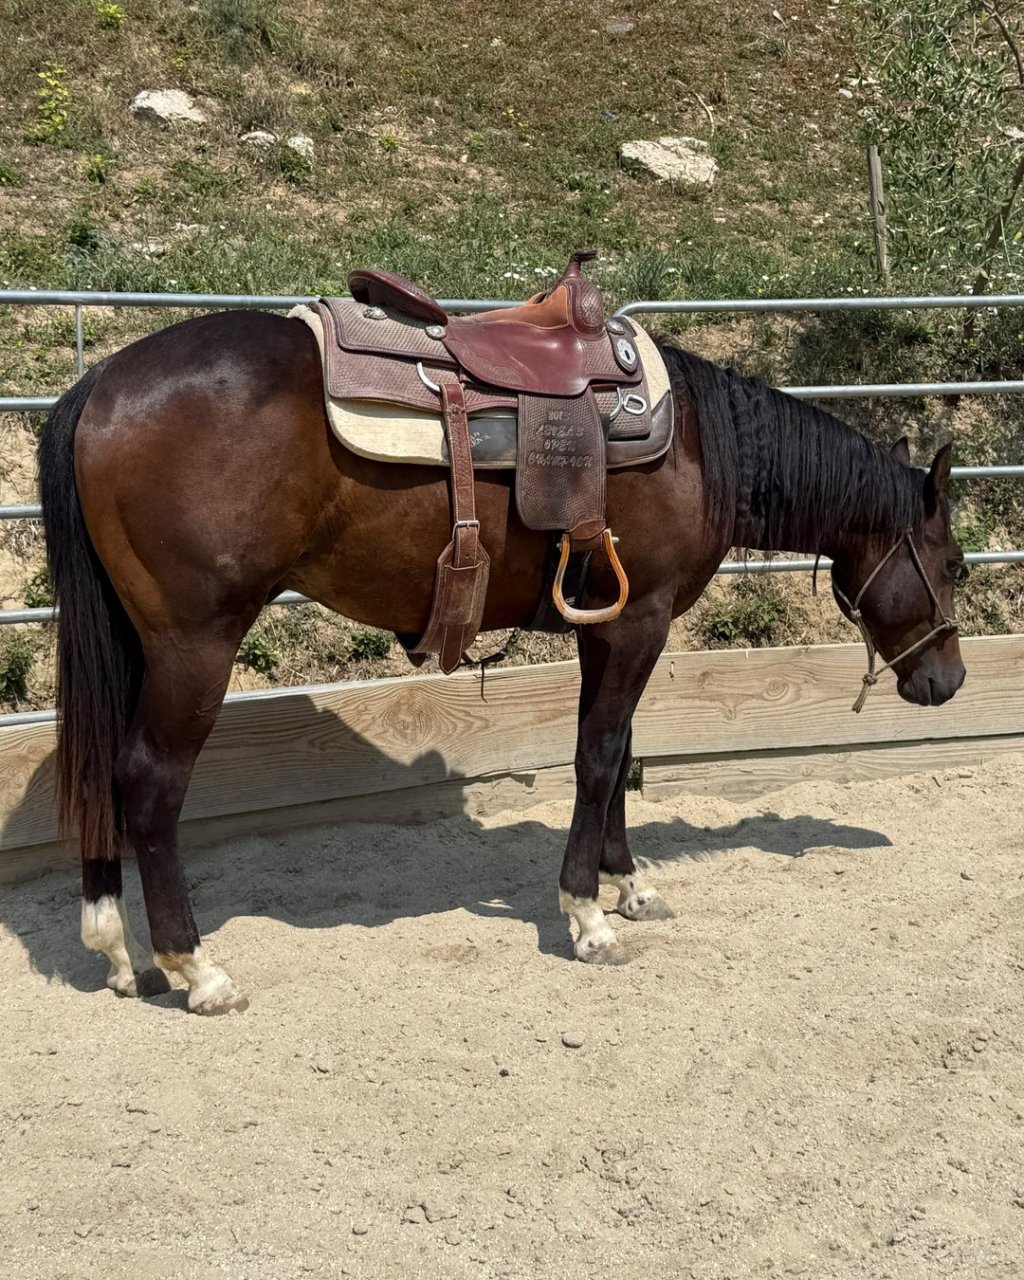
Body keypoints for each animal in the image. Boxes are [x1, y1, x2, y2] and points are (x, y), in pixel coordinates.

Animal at [38, 308, 967, 1014]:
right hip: (195, 645)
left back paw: (117, 949)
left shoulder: (610, 627)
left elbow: (617, 755)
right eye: (955, 564)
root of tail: (102, 383)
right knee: (149, 783)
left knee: (100, 769)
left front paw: (628, 886)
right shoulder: (640, 623)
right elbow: (598, 759)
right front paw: (588, 917)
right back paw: (196, 967)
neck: (699, 443)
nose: (948, 679)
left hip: (136, 644)